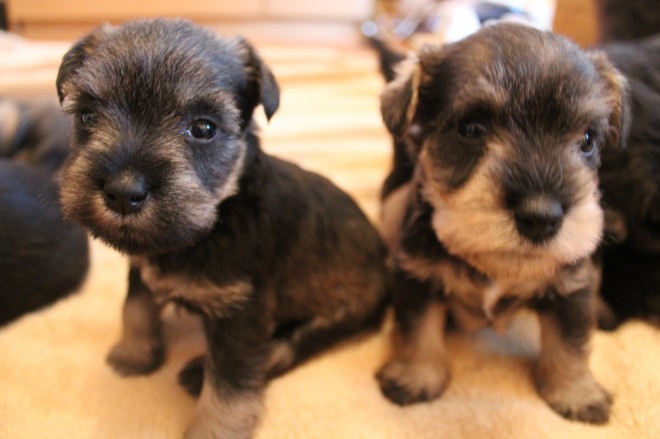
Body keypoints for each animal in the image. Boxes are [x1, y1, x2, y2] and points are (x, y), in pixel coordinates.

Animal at [56, 18, 390, 438]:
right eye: (86, 116)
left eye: (203, 128)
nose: (123, 192)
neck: (217, 219)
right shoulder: (141, 264)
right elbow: (135, 307)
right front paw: (134, 355)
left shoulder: (241, 313)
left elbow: (230, 386)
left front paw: (212, 429)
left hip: (337, 315)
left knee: (284, 347)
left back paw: (198, 373)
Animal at [368, 22, 628, 424]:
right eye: (470, 129)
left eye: (587, 138)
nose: (541, 217)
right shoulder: (416, 274)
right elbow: (417, 330)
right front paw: (415, 378)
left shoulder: (571, 287)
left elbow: (572, 342)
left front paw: (576, 393)